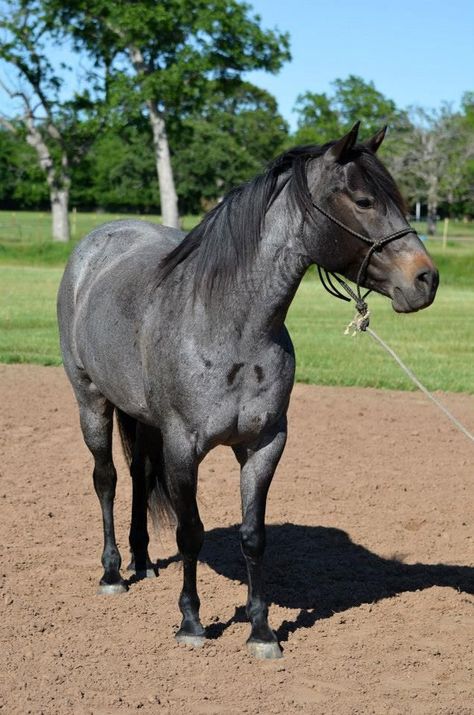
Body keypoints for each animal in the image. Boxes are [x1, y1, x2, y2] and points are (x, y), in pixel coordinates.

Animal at [57, 121, 438, 660]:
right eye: (364, 200)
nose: (425, 279)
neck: (231, 328)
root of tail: (95, 246)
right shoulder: (183, 448)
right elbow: (190, 532)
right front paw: (192, 624)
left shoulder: (264, 445)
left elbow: (253, 536)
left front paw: (261, 631)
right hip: (91, 401)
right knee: (106, 478)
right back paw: (112, 573)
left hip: (143, 419)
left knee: (136, 477)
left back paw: (142, 561)